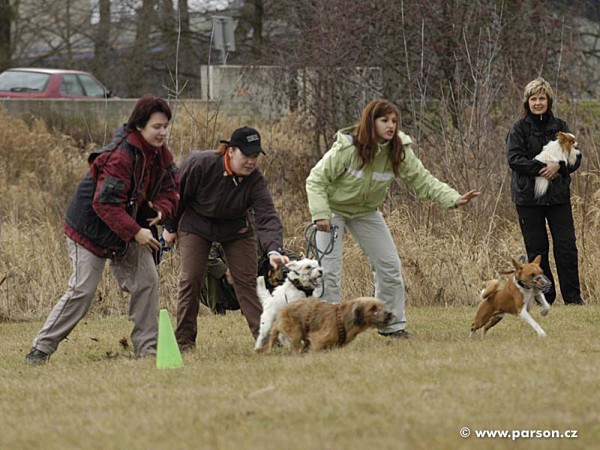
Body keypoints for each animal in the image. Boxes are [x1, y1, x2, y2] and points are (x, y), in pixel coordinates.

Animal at [254, 296, 392, 356]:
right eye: (373, 308)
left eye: (382, 306)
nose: (389, 314)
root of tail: (280, 312)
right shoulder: (318, 340)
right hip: (295, 332)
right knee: (296, 347)